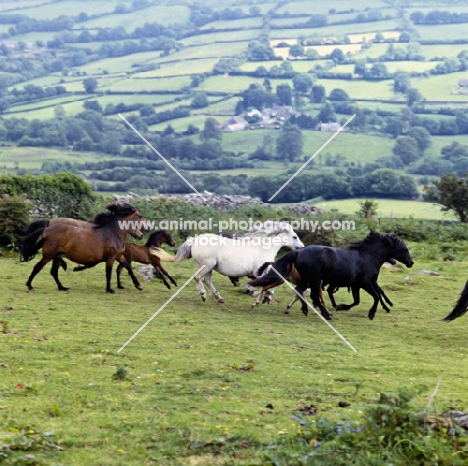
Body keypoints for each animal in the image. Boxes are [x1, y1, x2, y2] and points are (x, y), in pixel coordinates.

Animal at [151, 223, 304, 304]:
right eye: (294, 236)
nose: (302, 247)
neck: (263, 247)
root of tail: (194, 240)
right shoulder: (259, 271)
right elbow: (267, 284)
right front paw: (266, 296)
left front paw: (263, 295)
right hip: (207, 265)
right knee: (198, 278)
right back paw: (204, 295)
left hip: (210, 267)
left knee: (207, 280)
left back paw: (219, 298)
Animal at [249, 230, 414, 320]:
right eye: (404, 249)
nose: (411, 262)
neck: (368, 257)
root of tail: (299, 251)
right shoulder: (365, 283)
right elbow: (376, 296)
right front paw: (371, 313)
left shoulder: (357, 285)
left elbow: (360, 300)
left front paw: (341, 307)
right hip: (314, 279)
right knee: (312, 295)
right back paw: (325, 314)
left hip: (307, 279)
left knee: (299, 291)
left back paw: (306, 309)